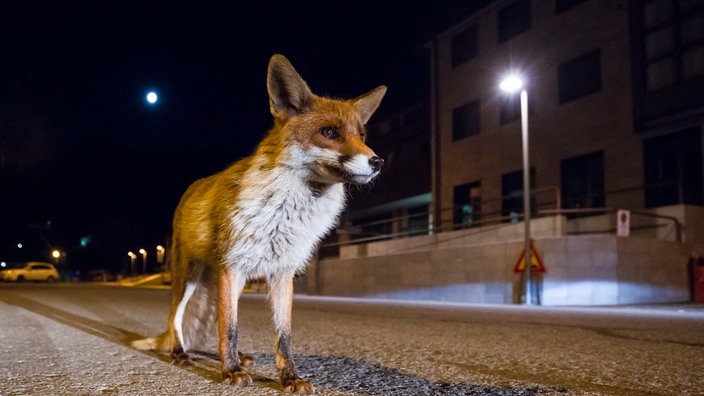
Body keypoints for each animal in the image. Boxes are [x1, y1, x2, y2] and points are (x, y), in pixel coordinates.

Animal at [132, 54, 384, 394]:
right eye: (329, 132)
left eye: (362, 136)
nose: (377, 161)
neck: (284, 213)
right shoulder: (232, 266)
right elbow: (230, 327)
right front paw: (230, 372)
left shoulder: (282, 273)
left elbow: (283, 336)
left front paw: (288, 377)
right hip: (190, 276)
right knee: (176, 318)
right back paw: (180, 353)